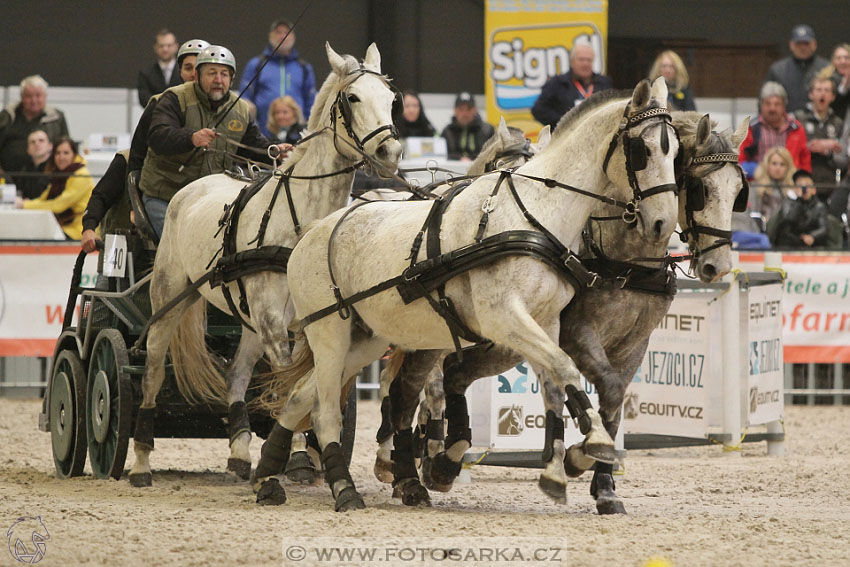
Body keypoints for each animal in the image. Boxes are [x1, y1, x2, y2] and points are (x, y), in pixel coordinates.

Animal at [127, 43, 402, 488]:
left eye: (392, 99)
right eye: (352, 97)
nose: (389, 154)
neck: (303, 222)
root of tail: (193, 187)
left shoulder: (312, 321)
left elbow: (313, 381)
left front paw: (307, 451)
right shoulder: (275, 322)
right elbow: (285, 384)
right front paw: (295, 451)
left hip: (249, 318)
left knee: (237, 374)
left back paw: (240, 451)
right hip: (171, 297)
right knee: (152, 368)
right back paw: (140, 462)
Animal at [255, 79, 680, 510]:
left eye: (676, 152)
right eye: (642, 151)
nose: (663, 223)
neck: (533, 214)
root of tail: (314, 230)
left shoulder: (545, 322)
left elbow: (555, 383)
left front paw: (558, 469)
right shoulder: (505, 318)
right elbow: (563, 368)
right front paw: (594, 444)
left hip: (365, 338)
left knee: (299, 396)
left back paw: (269, 476)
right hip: (329, 332)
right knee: (325, 411)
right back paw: (344, 488)